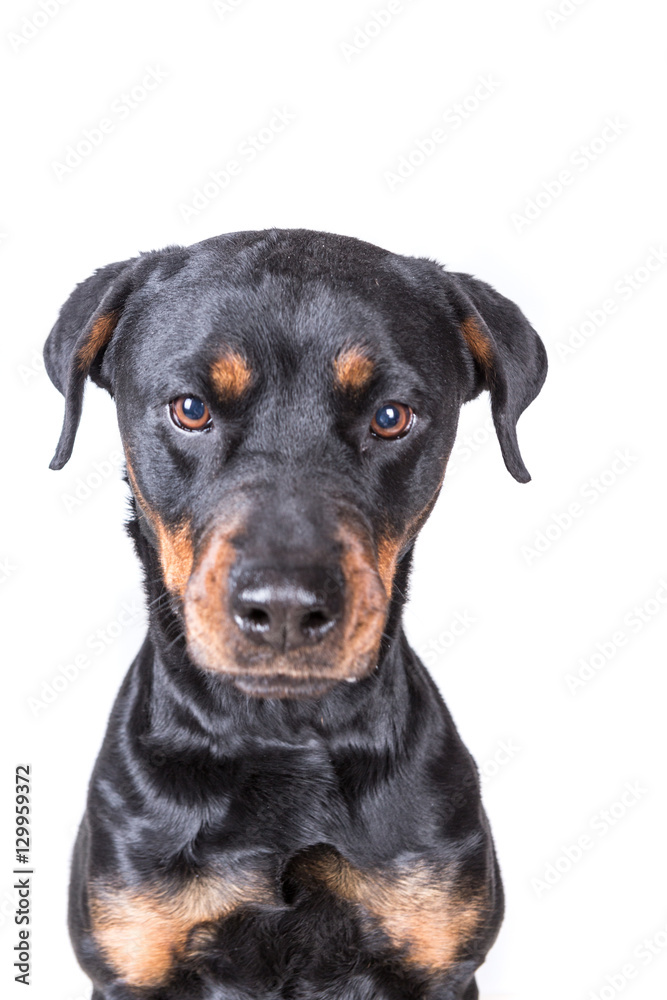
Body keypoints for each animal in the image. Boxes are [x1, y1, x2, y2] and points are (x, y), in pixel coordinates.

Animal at [45, 229, 548, 1000]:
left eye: (390, 417)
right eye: (190, 408)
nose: (283, 607)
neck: (282, 734)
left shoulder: (438, 957)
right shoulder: (131, 957)